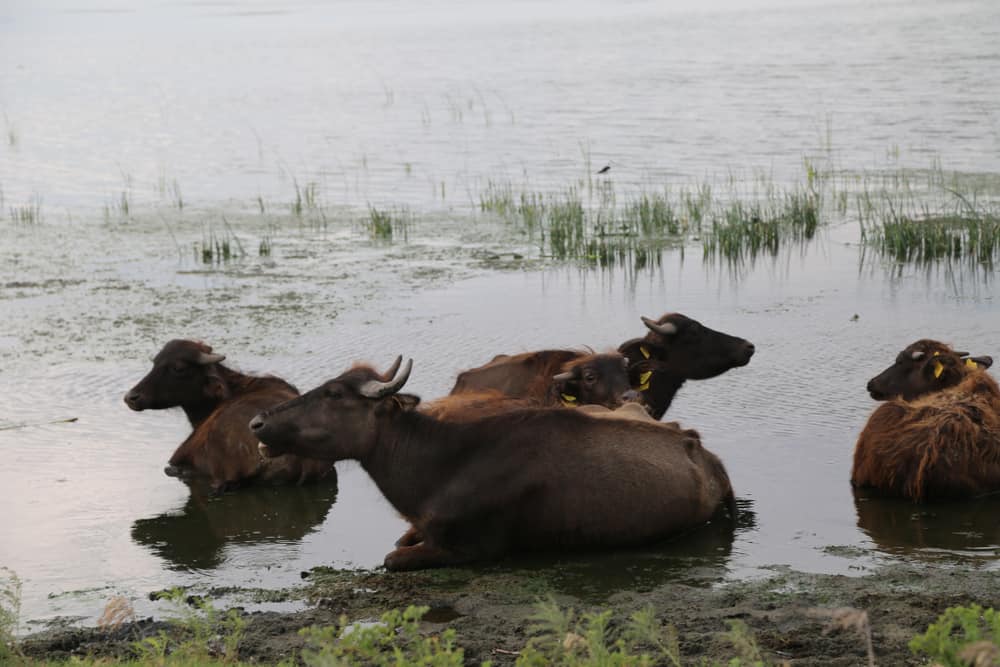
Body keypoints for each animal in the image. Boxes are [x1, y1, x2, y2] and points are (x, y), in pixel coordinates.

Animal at [250, 358, 736, 572]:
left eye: (334, 393)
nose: (258, 422)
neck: (434, 470)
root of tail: (705, 455)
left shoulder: (473, 546)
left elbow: (392, 557)